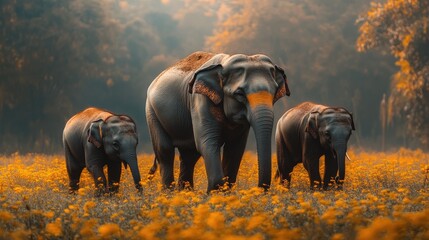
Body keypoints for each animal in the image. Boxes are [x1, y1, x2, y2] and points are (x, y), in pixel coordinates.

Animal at [147, 51, 290, 192]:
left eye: (274, 92)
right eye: (239, 94)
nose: (258, 189)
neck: (225, 61)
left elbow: (235, 148)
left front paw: (225, 192)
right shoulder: (200, 100)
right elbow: (207, 142)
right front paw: (214, 192)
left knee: (189, 156)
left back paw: (184, 192)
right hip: (152, 112)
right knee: (165, 151)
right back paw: (169, 193)